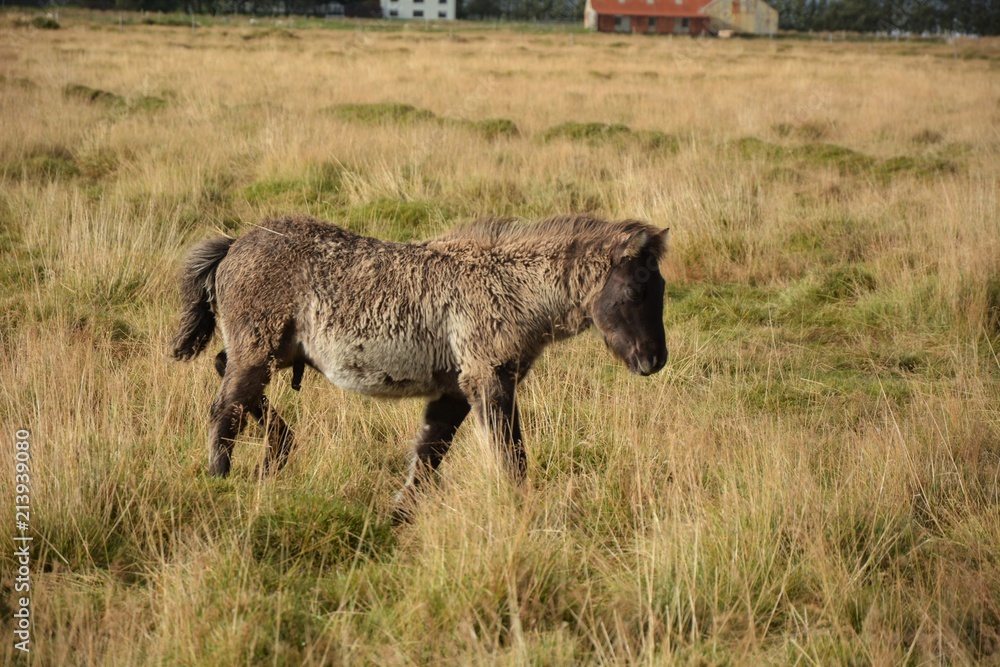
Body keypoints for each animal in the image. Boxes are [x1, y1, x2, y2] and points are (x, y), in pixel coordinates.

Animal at [171, 214, 668, 519]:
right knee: (225, 407)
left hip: (267, 352)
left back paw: (278, 452)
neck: (507, 283)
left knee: (230, 377)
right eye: (635, 291)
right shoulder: (489, 380)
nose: (654, 360)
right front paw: (523, 512)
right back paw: (223, 477)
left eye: (661, 288)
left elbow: (429, 455)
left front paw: (397, 516)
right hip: (257, 349)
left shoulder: (454, 391)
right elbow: (511, 458)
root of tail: (235, 243)